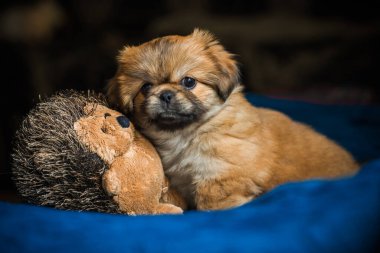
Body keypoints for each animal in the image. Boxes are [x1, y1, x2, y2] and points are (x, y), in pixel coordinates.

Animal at [107, 28, 360, 211]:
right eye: (146, 87)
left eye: (189, 82)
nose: (166, 94)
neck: (187, 134)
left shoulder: (221, 175)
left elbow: (212, 201)